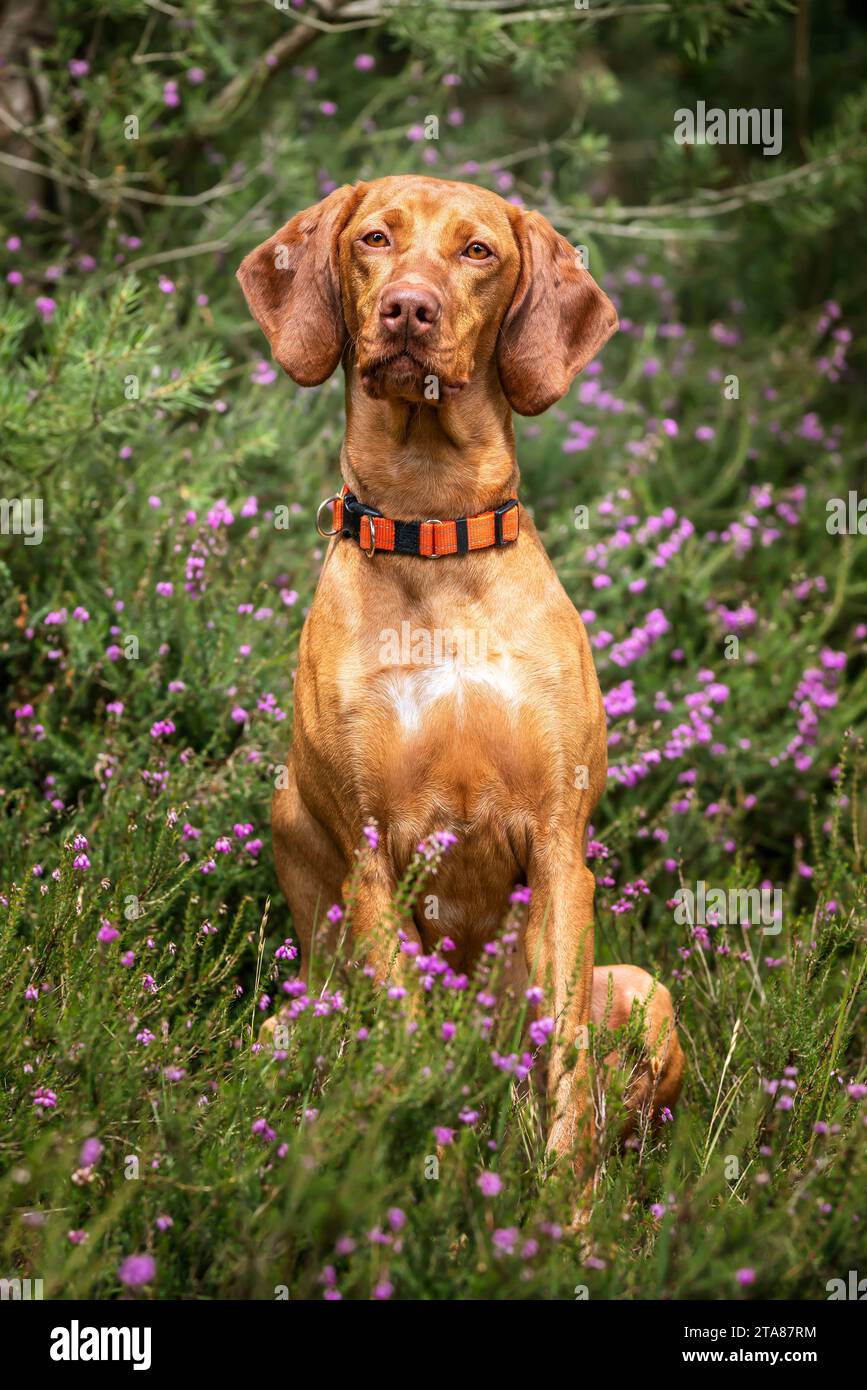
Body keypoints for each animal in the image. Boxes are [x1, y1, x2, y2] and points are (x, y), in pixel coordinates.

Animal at [238, 170, 683, 1173]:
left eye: (477, 250)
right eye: (374, 238)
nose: (408, 308)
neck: (431, 526)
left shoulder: (558, 846)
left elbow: (568, 1074)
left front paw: (563, 1210)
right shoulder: (371, 864)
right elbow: (403, 1043)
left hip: (645, 990)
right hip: (284, 1028)